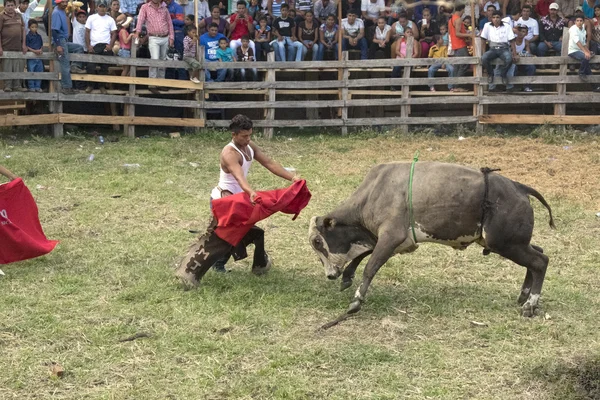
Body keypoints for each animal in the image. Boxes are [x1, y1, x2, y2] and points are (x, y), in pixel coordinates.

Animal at [312, 162, 556, 318]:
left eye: (317, 242)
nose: (329, 275)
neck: (373, 192)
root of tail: (518, 187)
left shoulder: (392, 236)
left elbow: (370, 265)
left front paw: (356, 301)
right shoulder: (397, 241)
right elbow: (363, 254)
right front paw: (347, 276)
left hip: (505, 243)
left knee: (540, 261)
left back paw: (530, 304)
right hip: (512, 243)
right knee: (539, 253)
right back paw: (524, 295)